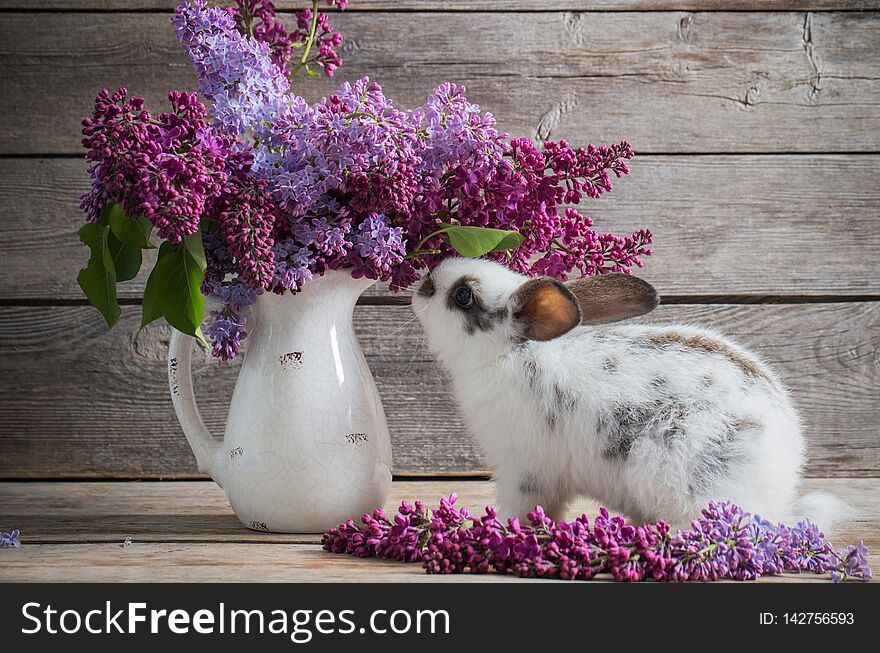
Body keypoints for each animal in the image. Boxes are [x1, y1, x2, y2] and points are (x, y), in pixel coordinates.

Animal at [412, 255, 844, 528]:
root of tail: (782, 486)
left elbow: (523, 506)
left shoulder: (524, 470)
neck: (510, 353)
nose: (423, 282)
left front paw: (500, 529)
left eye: (463, 295)